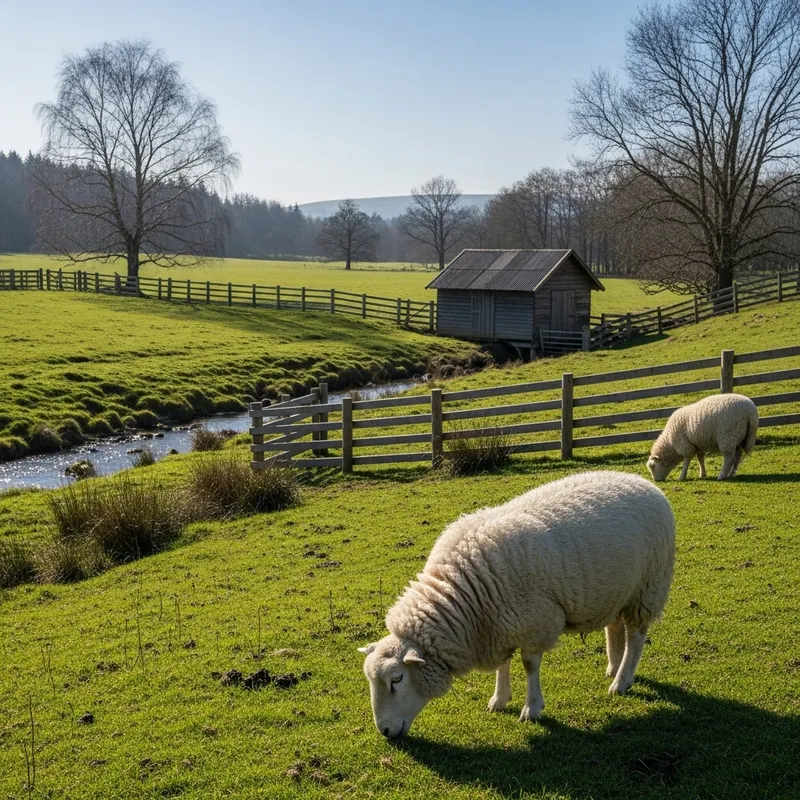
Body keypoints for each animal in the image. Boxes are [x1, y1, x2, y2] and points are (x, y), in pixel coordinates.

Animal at [358, 471, 676, 738]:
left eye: (397, 679)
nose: (384, 731)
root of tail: (640, 479)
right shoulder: (498, 625)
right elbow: (504, 663)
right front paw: (499, 699)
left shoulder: (534, 622)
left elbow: (529, 665)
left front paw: (531, 708)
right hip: (616, 590)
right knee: (615, 626)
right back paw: (614, 666)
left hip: (648, 587)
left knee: (636, 636)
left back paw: (622, 680)